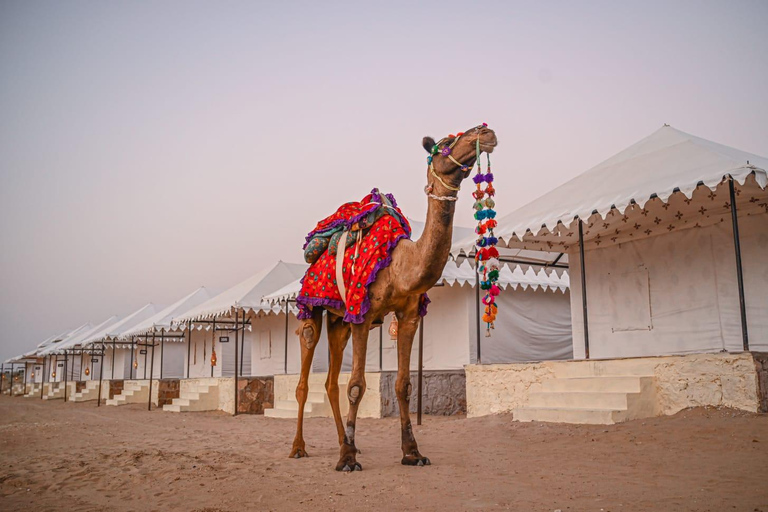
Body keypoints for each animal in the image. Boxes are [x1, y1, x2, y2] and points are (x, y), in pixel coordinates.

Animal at [290, 124, 498, 472]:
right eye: (445, 143)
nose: (485, 130)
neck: (400, 266)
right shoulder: (362, 313)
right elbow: (357, 385)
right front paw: (347, 460)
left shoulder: (409, 315)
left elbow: (404, 385)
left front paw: (412, 452)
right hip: (313, 307)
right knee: (305, 376)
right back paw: (299, 448)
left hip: (339, 322)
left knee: (331, 382)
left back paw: (343, 442)